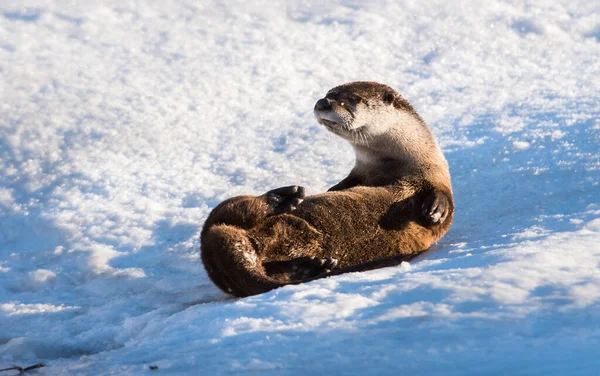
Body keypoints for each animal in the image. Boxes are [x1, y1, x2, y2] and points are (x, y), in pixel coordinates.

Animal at [199, 81, 452, 296]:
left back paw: (307, 265)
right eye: (329, 93)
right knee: (232, 212)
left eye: (352, 99)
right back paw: (282, 199)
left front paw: (435, 210)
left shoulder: (437, 177)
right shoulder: (360, 173)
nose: (323, 102)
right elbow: (342, 185)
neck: (395, 164)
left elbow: (445, 204)